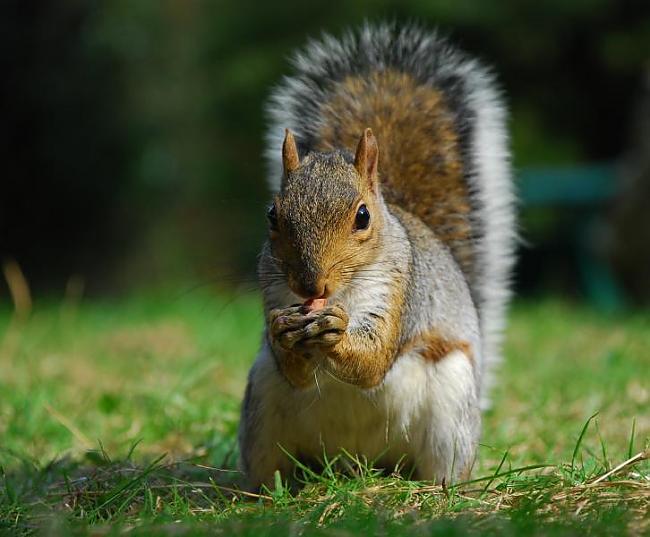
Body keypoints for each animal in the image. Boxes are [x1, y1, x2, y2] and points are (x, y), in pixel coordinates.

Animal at [235, 23, 512, 488]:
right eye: (272, 215)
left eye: (363, 216)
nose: (310, 285)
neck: (342, 293)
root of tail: (359, 464)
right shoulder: (273, 290)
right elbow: (294, 370)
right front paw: (282, 331)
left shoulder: (401, 292)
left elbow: (375, 360)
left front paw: (338, 331)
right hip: (261, 407)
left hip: (452, 406)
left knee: (444, 467)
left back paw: (441, 490)